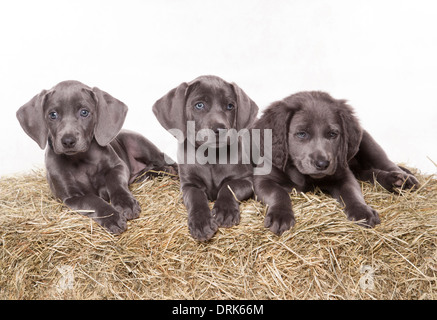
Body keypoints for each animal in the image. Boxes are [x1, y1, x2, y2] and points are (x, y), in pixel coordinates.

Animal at [16, 80, 177, 235]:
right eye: (53, 114)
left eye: (84, 112)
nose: (68, 141)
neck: (80, 159)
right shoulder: (71, 197)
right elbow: (91, 200)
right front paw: (112, 217)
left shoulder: (118, 166)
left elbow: (115, 182)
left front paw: (126, 203)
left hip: (139, 143)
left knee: (168, 162)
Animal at [254, 90, 418, 235]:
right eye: (301, 134)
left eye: (333, 134)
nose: (322, 164)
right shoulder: (263, 179)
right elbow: (278, 192)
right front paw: (280, 215)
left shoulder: (343, 173)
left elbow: (351, 192)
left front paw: (362, 211)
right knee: (368, 173)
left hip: (366, 142)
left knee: (384, 162)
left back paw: (403, 179)